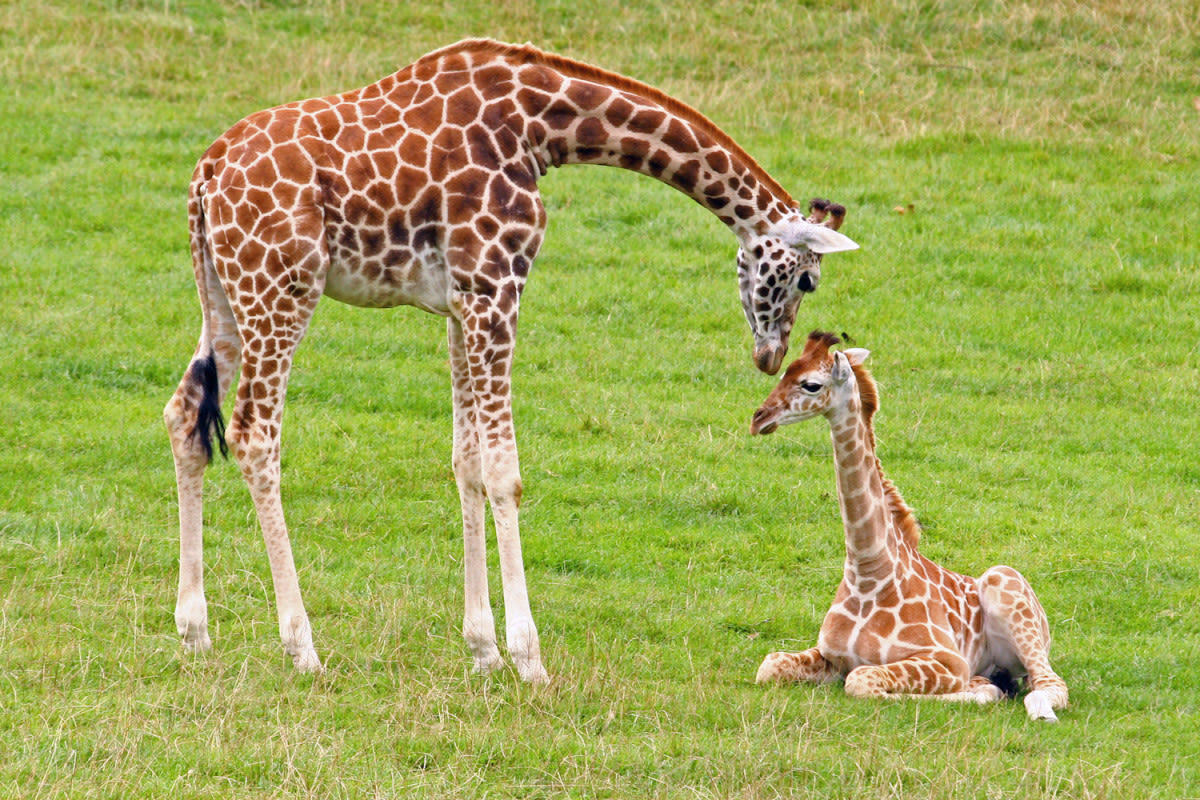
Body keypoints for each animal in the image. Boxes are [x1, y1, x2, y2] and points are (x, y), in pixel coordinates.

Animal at [164, 38, 859, 681]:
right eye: (807, 280)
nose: (770, 355)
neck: (539, 127)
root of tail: (203, 175)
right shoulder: (496, 289)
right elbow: (504, 471)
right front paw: (529, 658)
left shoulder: (460, 303)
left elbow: (466, 461)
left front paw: (483, 650)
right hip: (281, 290)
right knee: (255, 435)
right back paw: (302, 647)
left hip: (222, 295)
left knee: (184, 414)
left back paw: (195, 632)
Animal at [748, 331, 1070, 719]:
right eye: (784, 372)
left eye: (811, 384)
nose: (758, 418)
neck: (868, 572)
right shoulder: (829, 655)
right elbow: (769, 665)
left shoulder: (947, 661)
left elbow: (861, 680)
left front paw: (978, 691)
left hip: (1007, 587)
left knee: (1051, 685)